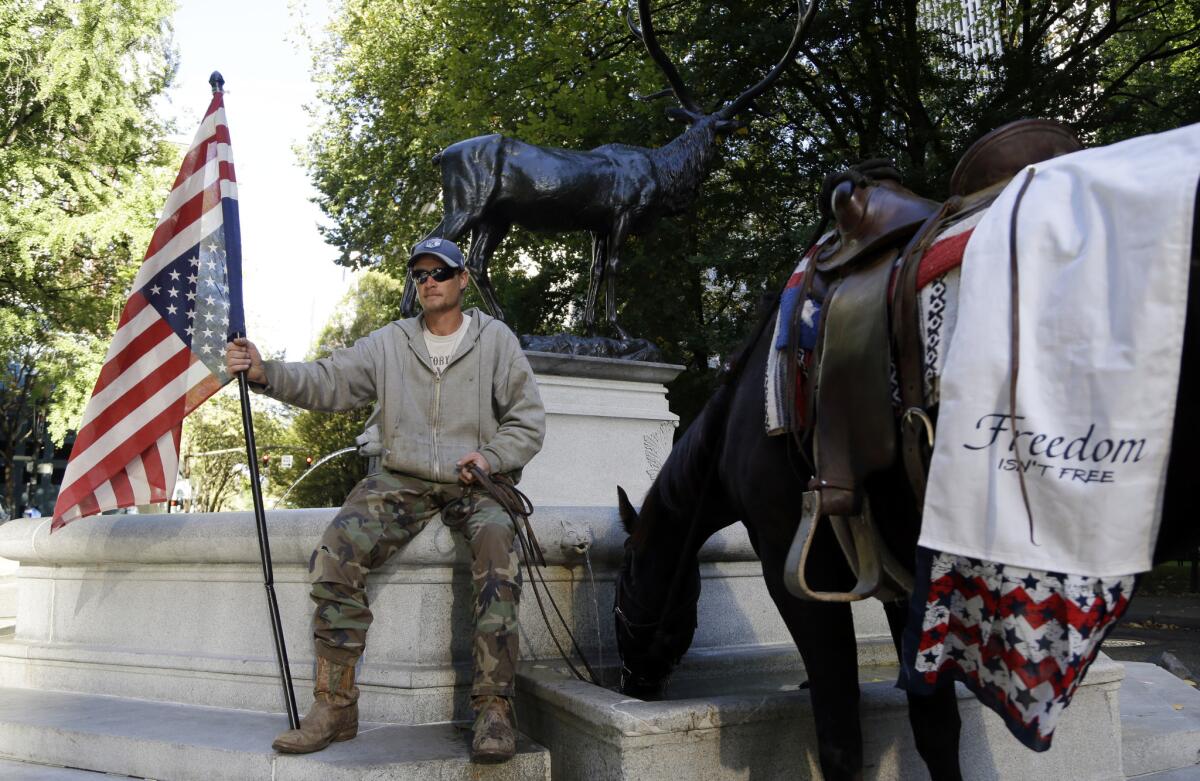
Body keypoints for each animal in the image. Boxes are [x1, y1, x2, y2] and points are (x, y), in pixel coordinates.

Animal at [614, 179, 1195, 777]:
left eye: (624, 571)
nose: (633, 683)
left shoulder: (794, 567)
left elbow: (840, 738)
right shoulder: (903, 574)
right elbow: (935, 728)